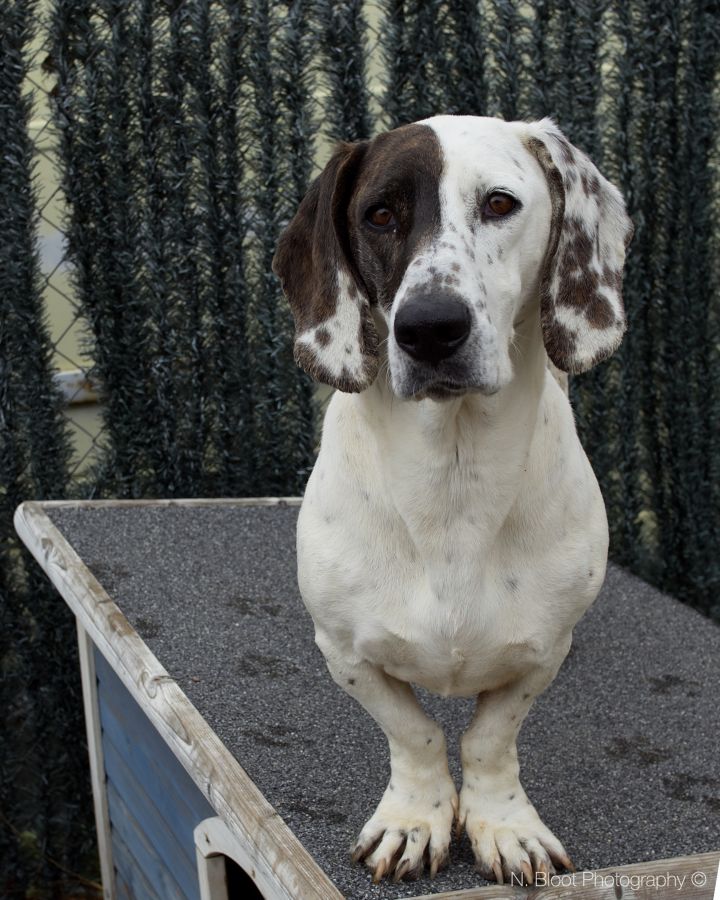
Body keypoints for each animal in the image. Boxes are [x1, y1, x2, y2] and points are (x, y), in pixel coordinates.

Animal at [272, 114, 632, 884]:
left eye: (499, 203)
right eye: (380, 214)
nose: (430, 327)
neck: (452, 488)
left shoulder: (540, 654)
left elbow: (491, 738)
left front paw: (503, 823)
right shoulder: (345, 652)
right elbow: (416, 733)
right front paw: (415, 818)